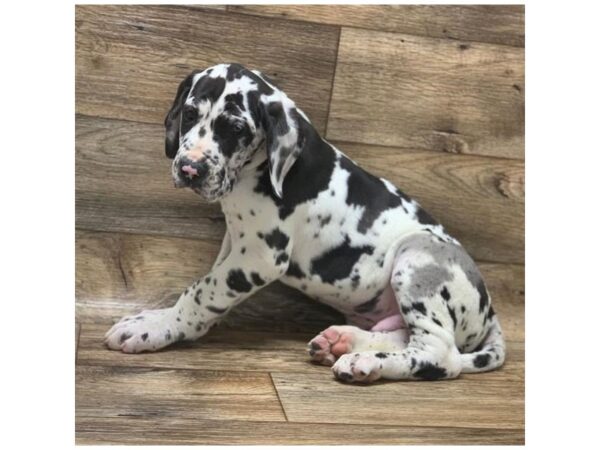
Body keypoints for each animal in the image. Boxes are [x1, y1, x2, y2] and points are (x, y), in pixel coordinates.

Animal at [104, 61, 506, 382]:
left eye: (235, 129)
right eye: (189, 114)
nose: (190, 169)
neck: (257, 170)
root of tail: (490, 314)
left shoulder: (261, 257)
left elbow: (202, 290)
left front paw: (159, 327)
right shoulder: (236, 241)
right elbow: (211, 283)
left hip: (419, 254)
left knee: (441, 354)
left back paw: (366, 362)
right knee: (410, 336)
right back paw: (344, 342)